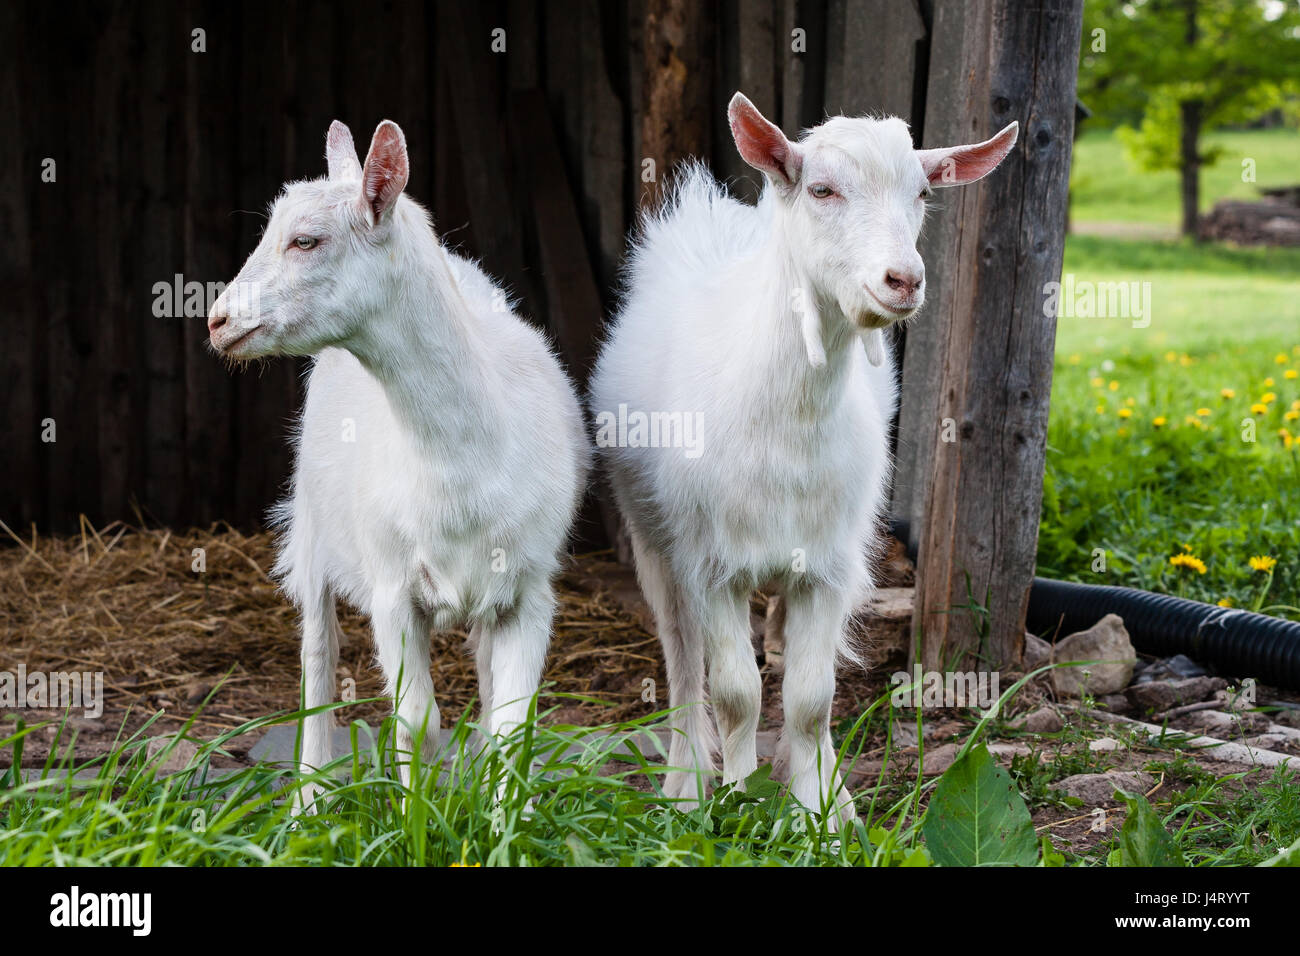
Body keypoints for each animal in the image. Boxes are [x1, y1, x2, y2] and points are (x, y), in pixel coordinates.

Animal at [207, 119, 589, 804]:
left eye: (306, 239)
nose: (218, 320)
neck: (460, 466)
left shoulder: (529, 586)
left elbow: (512, 727)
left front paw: (500, 821)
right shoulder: (392, 587)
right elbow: (416, 721)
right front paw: (416, 816)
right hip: (310, 525)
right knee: (317, 657)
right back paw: (307, 801)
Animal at [589, 92, 1016, 826]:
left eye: (923, 192)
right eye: (822, 189)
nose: (903, 279)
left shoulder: (829, 566)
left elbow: (811, 698)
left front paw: (818, 812)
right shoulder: (712, 565)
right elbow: (735, 692)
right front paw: (735, 799)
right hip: (651, 536)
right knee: (681, 656)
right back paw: (684, 783)